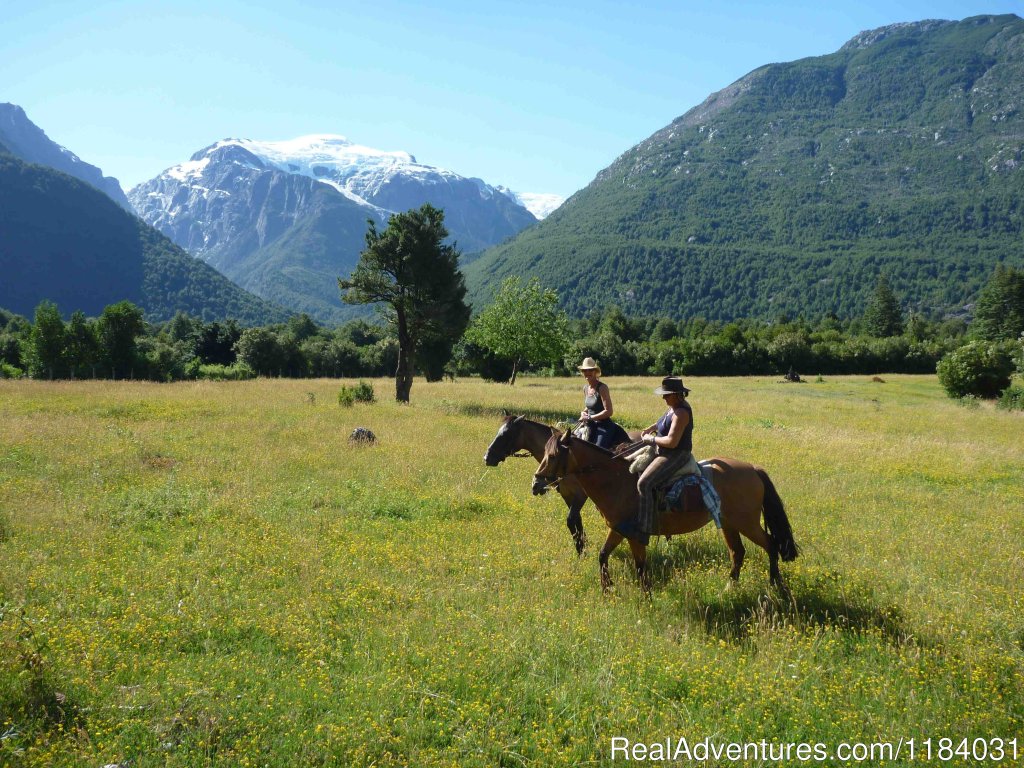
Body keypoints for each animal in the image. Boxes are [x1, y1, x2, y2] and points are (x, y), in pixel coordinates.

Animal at [532, 436, 794, 593]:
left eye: (552, 456)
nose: (537, 482)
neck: (616, 480)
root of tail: (752, 469)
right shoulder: (618, 529)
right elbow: (603, 555)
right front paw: (607, 589)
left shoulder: (635, 534)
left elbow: (640, 566)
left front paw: (646, 596)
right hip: (730, 524)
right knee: (737, 553)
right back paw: (730, 588)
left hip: (747, 523)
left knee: (771, 545)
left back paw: (775, 584)